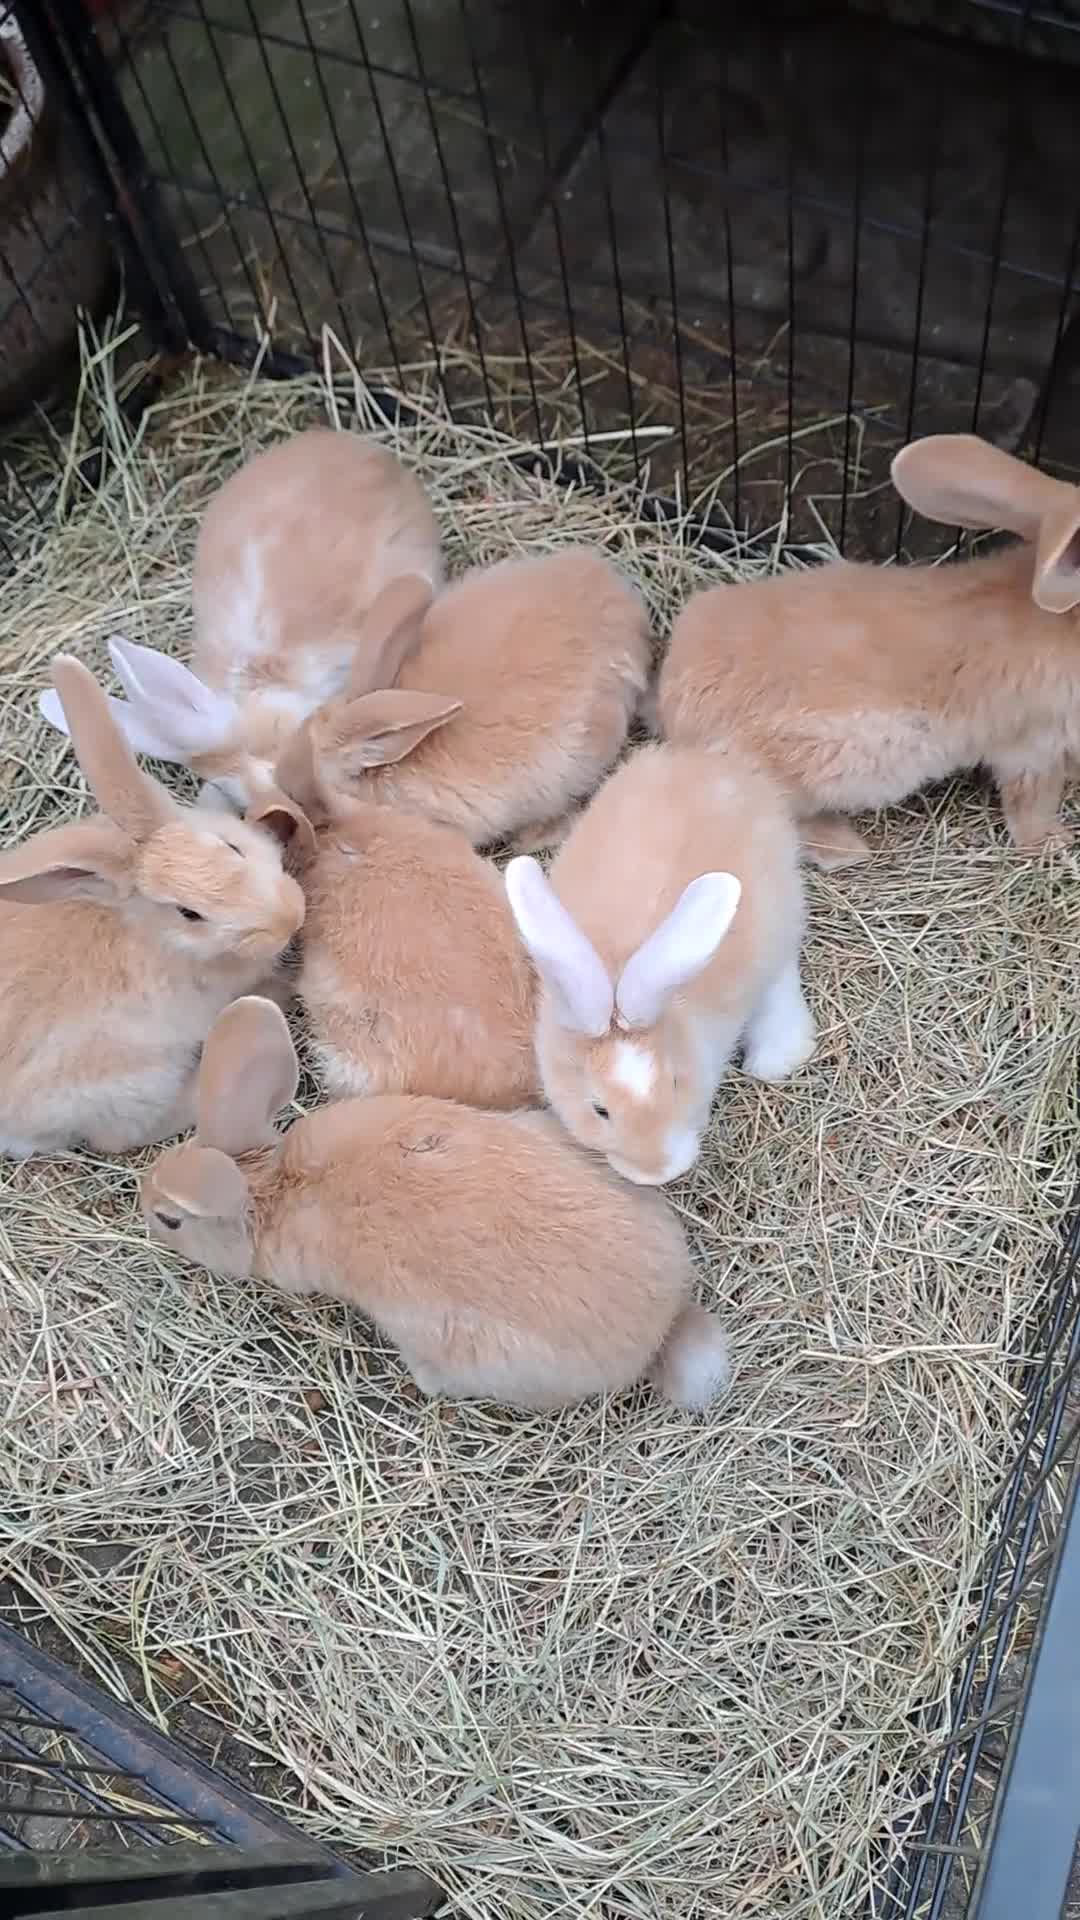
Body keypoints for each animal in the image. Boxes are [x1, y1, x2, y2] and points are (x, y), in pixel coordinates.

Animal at [504, 740, 814, 1187]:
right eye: (599, 1109)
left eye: (674, 1083)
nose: (659, 1172)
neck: (617, 973)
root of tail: (713, 764)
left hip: (780, 912)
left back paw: (776, 1058)